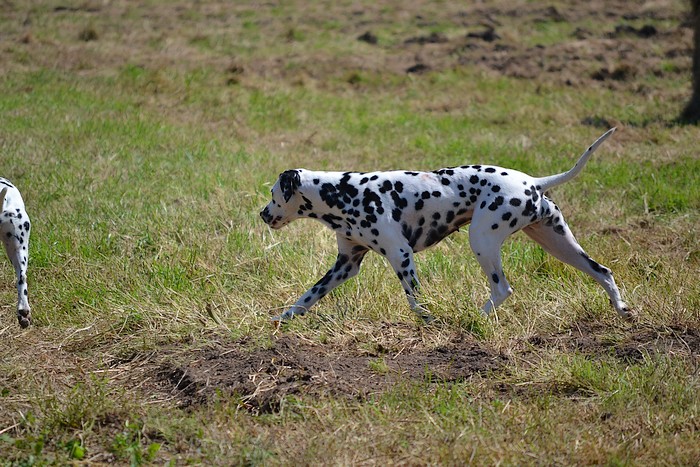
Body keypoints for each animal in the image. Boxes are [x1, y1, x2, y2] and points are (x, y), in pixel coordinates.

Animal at [262, 129, 636, 326]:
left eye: (273, 194)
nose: (263, 214)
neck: (343, 193)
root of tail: (534, 181)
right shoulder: (345, 265)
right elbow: (305, 298)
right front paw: (280, 321)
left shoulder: (401, 256)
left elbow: (416, 302)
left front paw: (429, 322)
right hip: (558, 243)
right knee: (603, 272)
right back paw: (622, 310)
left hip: (482, 241)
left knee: (502, 289)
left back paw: (476, 319)